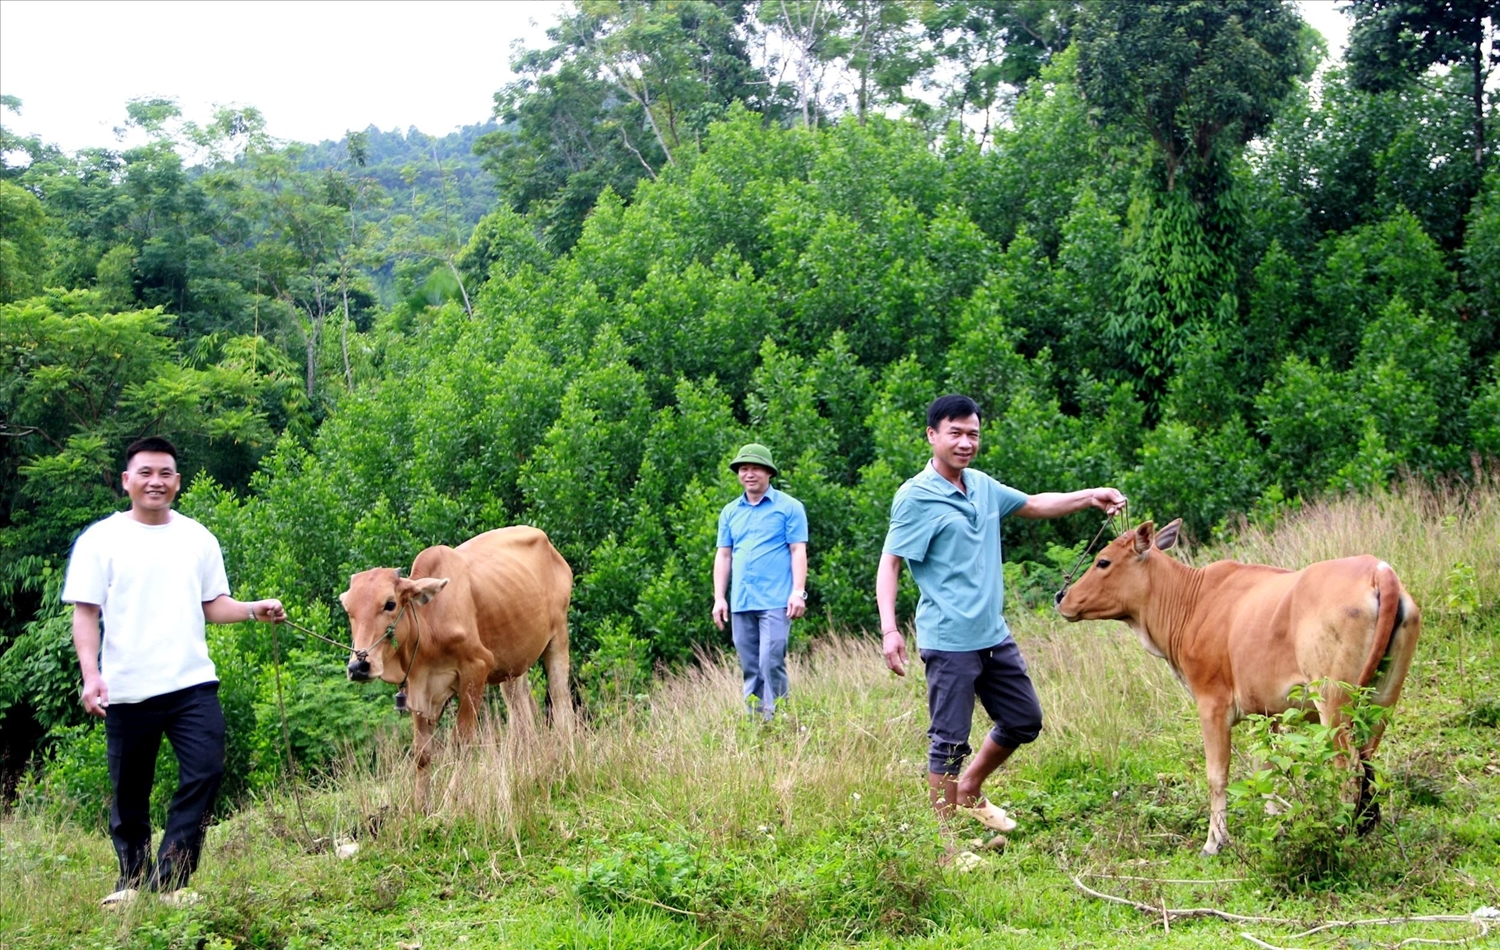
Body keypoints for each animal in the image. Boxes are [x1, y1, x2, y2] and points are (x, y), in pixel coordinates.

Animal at [340, 522, 573, 804]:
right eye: (348, 610)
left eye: (390, 603)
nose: (359, 666)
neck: (430, 622)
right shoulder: (418, 689)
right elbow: (422, 753)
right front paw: (420, 806)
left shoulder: (476, 670)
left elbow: (461, 743)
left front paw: (450, 799)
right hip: (513, 666)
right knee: (522, 715)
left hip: (558, 636)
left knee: (561, 703)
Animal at [1056, 519, 1416, 852]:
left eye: (1103, 561)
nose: (1062, 597)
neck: (1191, 603)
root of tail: (1377, 569)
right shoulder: (1266, 711)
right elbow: (1267, 768)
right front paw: (1276, 828)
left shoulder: (1212, 703)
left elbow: (1217, 775)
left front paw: (1215, 841)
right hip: (1382, 699)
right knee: (1368, 761)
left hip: (1333, 702)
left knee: (1348, 766)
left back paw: (1343, 833)